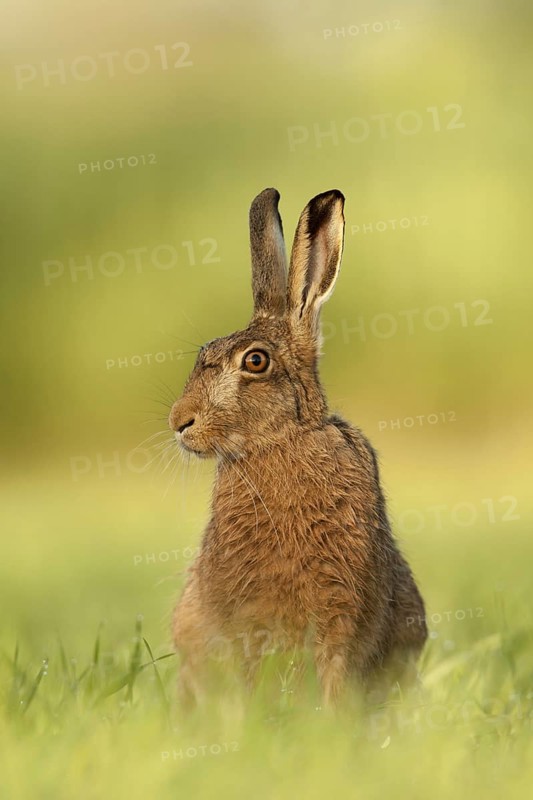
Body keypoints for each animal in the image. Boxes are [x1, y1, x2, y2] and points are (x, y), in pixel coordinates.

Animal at [168, 188, 427, 708]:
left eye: (256, 361)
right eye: (203, 352)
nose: (178, 422)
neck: (281, 441)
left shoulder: (341, 606)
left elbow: (334, 669)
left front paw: (330, 722)